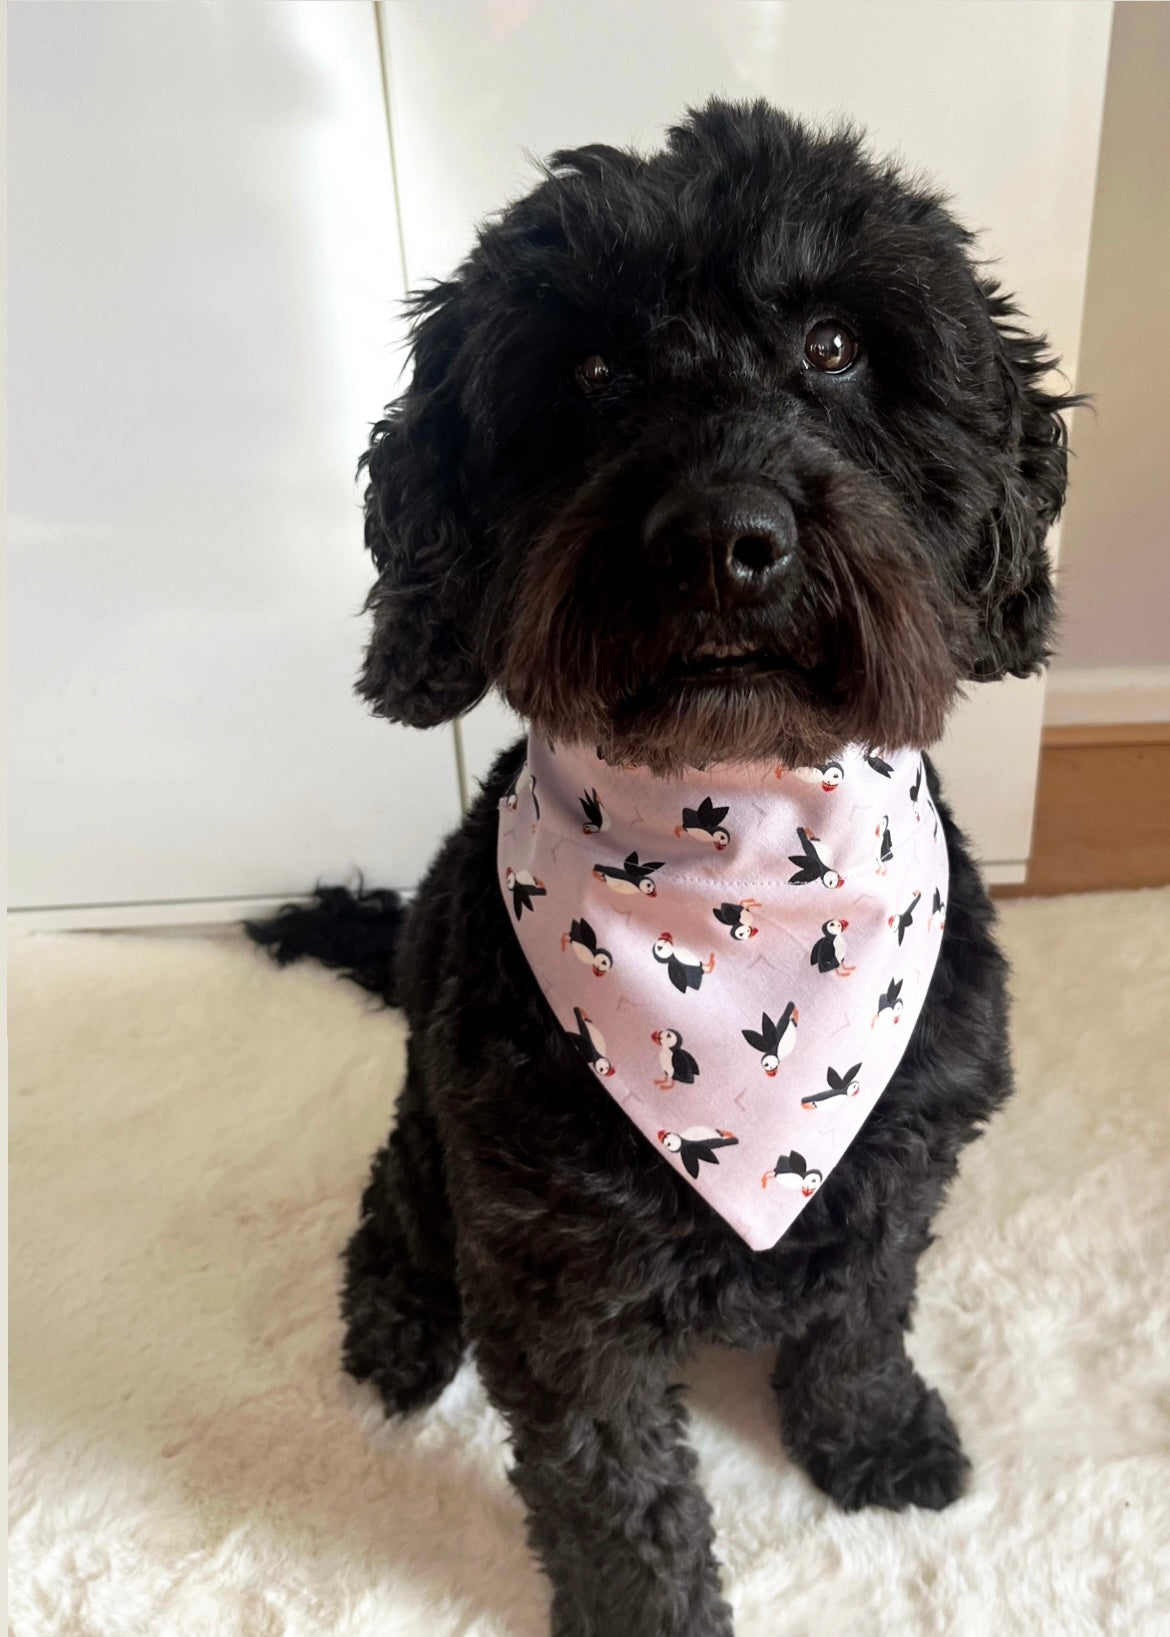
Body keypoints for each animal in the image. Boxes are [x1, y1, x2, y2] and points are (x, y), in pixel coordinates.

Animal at [252, 102, 1073, 1637]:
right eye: (586, 369)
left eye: (835, 343)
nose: (722, 538)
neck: (736, 863)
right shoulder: (554, 1266)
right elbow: (610, 1481)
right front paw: (652, 1611)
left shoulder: (895, 1172)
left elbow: (861, 1322)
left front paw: (873, 1438)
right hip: (435, 1145)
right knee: (393, 1209)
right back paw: (396, 1330)